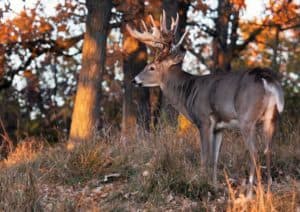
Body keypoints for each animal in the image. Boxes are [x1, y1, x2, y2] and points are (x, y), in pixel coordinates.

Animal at [126, 10, 284, 195]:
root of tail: (266, 78)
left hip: (247, 117)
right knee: (269, 149)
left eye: (151, 67)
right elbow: (215, 158)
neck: (188, 92)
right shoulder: (219, 127)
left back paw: (250, 191)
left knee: (255, 152)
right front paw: (214, 186)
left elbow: (205, 157)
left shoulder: (204, 120)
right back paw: (268, 188)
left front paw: (202, 184)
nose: (134, 80)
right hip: (272, 117)